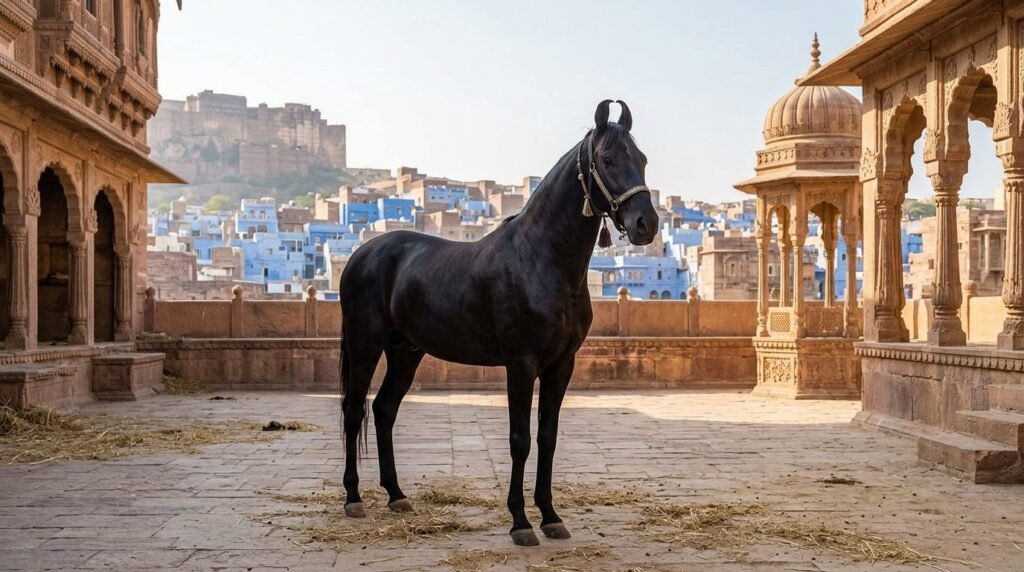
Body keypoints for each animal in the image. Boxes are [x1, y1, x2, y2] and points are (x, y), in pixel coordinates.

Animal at [338, 100, 658, 546]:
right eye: (608, 159)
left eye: (642, 159)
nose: (647, 224)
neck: (542, 259)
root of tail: (361, 254)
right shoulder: (520, 364)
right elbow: (520, 439)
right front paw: (521, 522)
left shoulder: (561, 365)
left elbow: (547, 437)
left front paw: (551, 516)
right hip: (365, 344)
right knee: (354, 411)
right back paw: (353, 499)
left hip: (406, 351)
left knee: (384, 409)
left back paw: (397, 495)